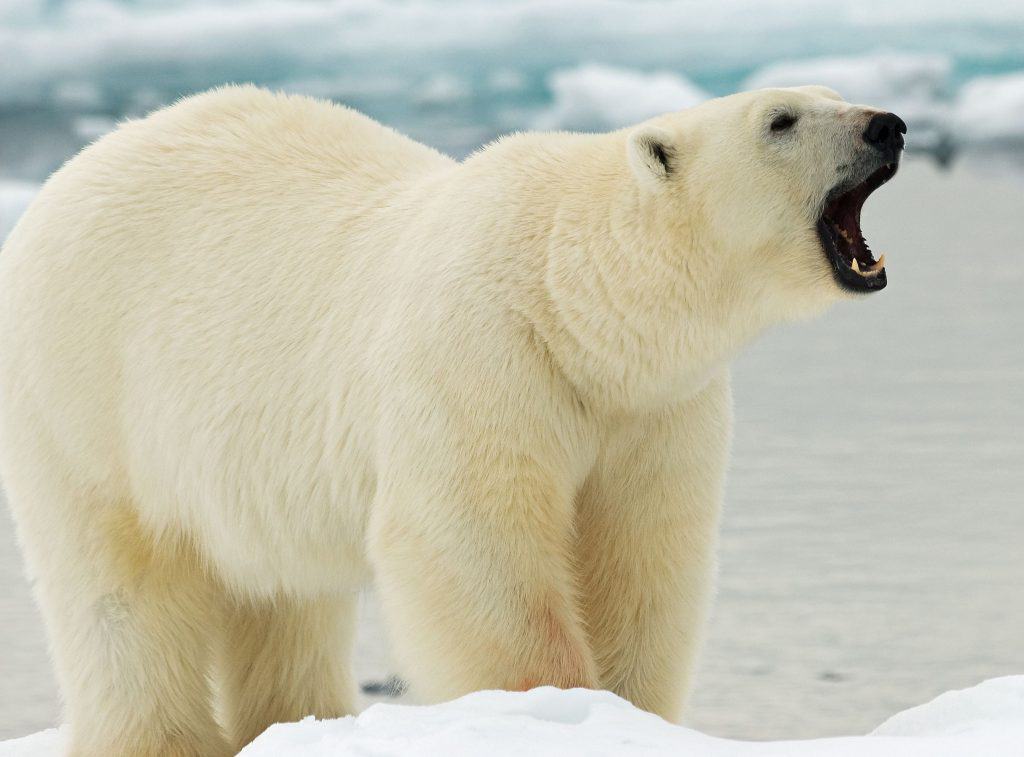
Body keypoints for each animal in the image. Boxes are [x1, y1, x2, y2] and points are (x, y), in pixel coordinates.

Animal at [0, 84, 903, 755]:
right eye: (781, 119)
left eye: (835, 93)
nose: (887, 124)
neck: (572, 302)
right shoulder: (483, 358)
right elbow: (477, 548)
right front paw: (552, 706)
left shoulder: (652, 410)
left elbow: (642, 557)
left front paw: (631, 713)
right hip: (86, 394)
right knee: (119, 592)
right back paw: (162, 735)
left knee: (287, 599)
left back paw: (306, 719)